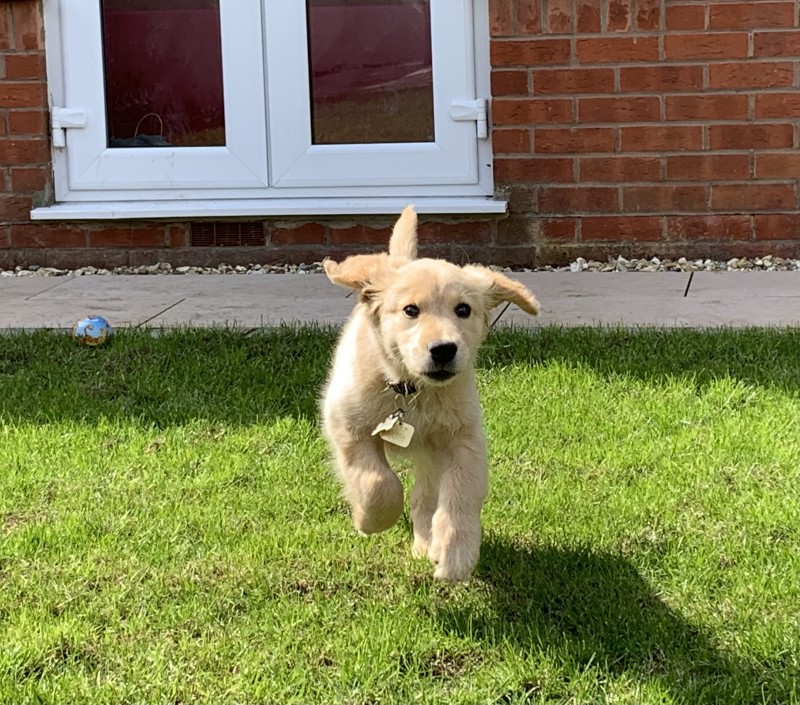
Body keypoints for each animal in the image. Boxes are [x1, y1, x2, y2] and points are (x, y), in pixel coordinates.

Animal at [318, 206, 536, 580]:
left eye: (463, 310)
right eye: (411, 310)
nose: (444, 349)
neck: (411, 391)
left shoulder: (464, 438)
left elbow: (461, 493)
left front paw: (455, 553)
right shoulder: (347, 428)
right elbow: (378, 484)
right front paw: (369, 520)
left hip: (431, 454)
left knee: (425, 496)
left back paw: (426, 543)